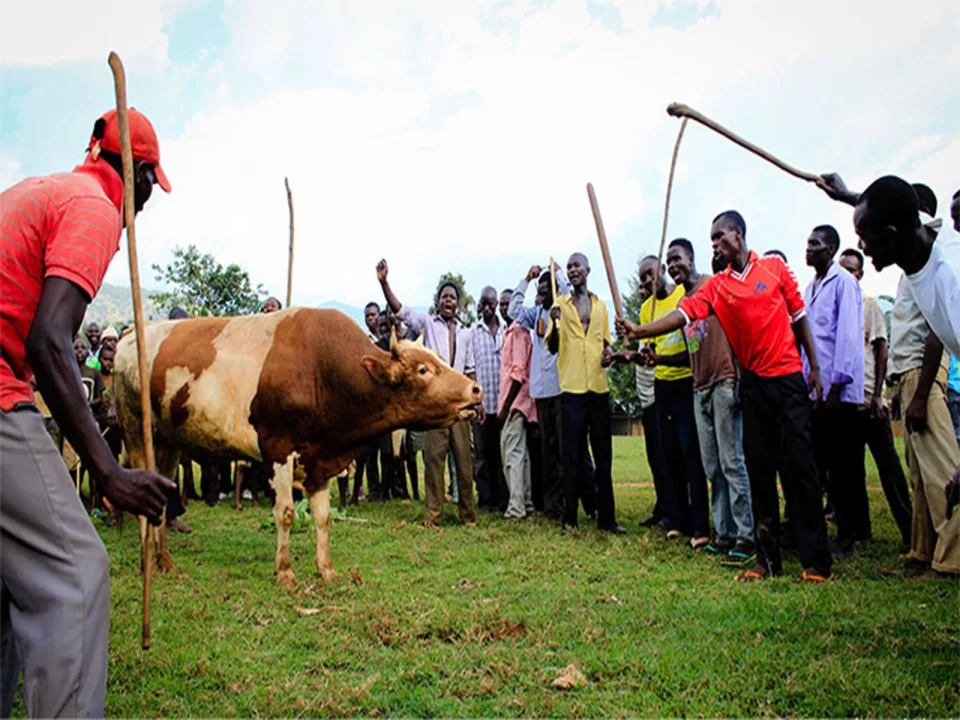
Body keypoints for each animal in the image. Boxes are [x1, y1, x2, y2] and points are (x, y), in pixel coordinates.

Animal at [114, 308, 480, 584]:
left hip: (167, 442)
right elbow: (287, 513)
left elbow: (323, 516)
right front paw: (285, 572)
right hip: (137, 432)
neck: (323, 371)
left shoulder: (321, 458)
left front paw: (327, 571)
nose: (475, 389)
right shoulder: (277, 448)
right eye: (423, 369)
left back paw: (166, 562)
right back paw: (148, 564)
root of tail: (129, 338)